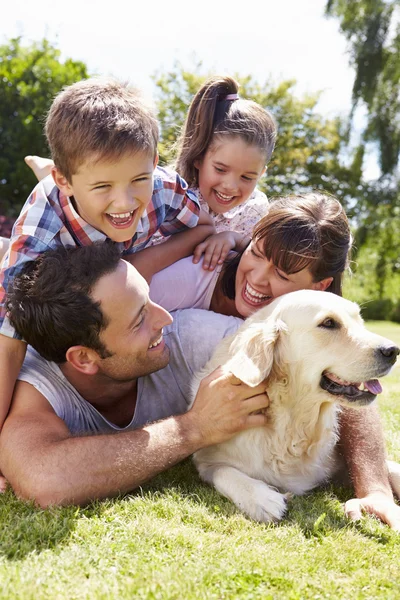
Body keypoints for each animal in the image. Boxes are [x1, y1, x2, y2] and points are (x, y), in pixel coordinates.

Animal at [192, 290, 398, 520]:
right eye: (329, 323)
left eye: (359, 320)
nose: (393, 351)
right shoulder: (206, 458)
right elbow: (223, 471)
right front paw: (261, 498)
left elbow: (390, 468)